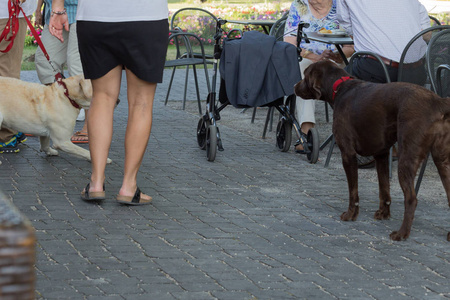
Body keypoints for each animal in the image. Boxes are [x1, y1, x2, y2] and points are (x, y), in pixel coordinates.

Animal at [294, 61, 450, 241]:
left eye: (305, 75)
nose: (294, 86)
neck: (339, 88)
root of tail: (438, 101)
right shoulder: (381, 154)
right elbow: (384, 189)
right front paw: (384, 213)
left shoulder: (348, 153)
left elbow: (353, 191)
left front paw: (351, 214)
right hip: (442, 161)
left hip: (407, 158)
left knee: (411, 198)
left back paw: (402, 233)